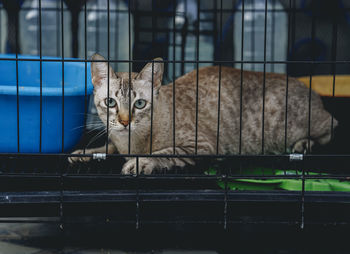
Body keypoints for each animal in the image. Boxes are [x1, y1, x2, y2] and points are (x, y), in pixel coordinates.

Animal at [67, 52, 336, 174]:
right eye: (110, 102)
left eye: (140, 104)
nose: (124, 121)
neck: (132, 141)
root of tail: (308, 88)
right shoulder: (116, 139)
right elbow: (108, 147)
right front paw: (86, 153)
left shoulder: (201, 145)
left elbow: (165, 152)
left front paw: (140, 161)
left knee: (332, 124)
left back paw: (303, 144)